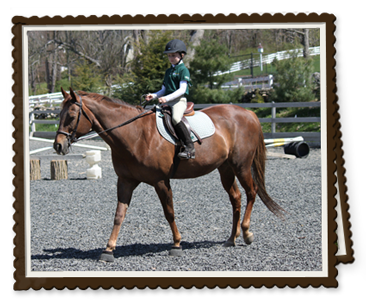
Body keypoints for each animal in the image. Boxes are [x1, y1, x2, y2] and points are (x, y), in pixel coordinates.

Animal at [53, 87, 286, 262]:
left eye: (71, 116)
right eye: (59, 116)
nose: (58, 146)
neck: (135, 134)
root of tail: (248, 113)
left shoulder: (160, 181)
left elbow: (169, 213)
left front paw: (176, 244)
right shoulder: (125, 181)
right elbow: (119, 215)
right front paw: (108, 249)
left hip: (242, 166)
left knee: (251, 193)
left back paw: (246, 233)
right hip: (225, 169)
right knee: (236, 198)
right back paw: (232, 238)